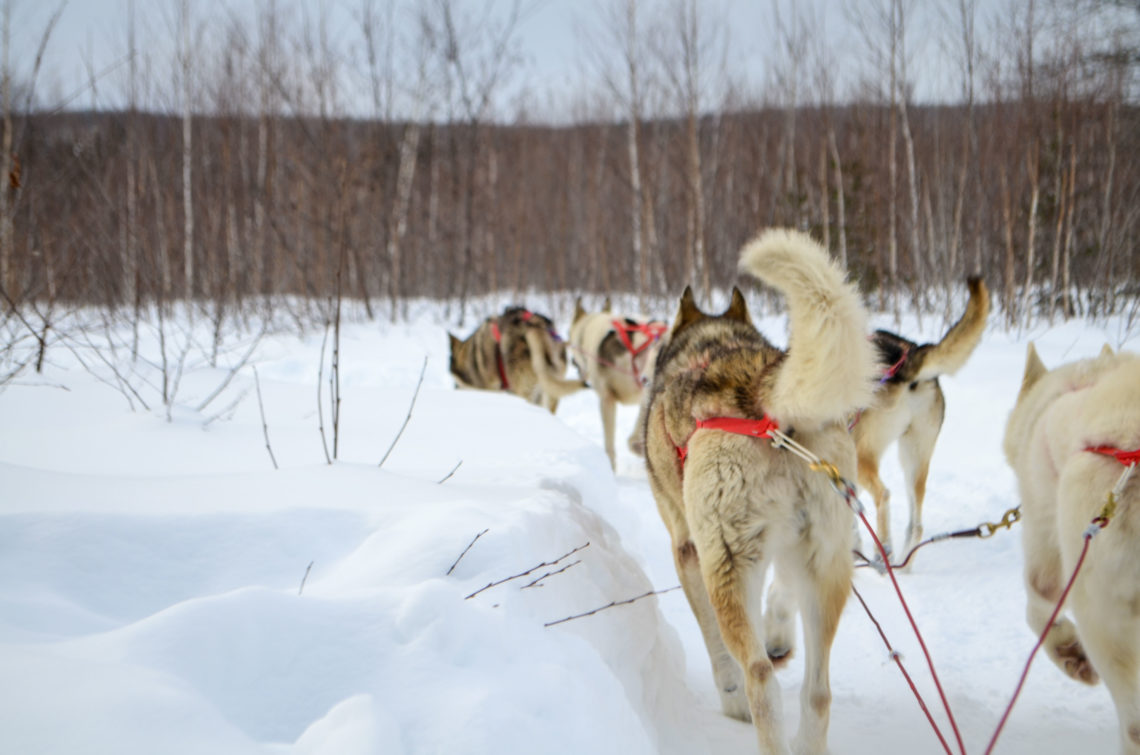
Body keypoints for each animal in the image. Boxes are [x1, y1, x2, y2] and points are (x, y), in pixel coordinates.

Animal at [647, 228, 875, 752]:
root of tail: (761, 393)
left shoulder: (689, 550)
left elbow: (716, 647)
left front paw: (729, 697)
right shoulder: (792, 555)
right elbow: (781, 595)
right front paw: (778, 632)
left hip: (728, 568)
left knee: (760, 679)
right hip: (827, 566)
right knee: (818, 693)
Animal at [857, 278, 989, 561]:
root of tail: (908, 356)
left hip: (864, 454)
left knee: (883, 495)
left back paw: (883, 551)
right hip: (914, 455)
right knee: (916, 525)